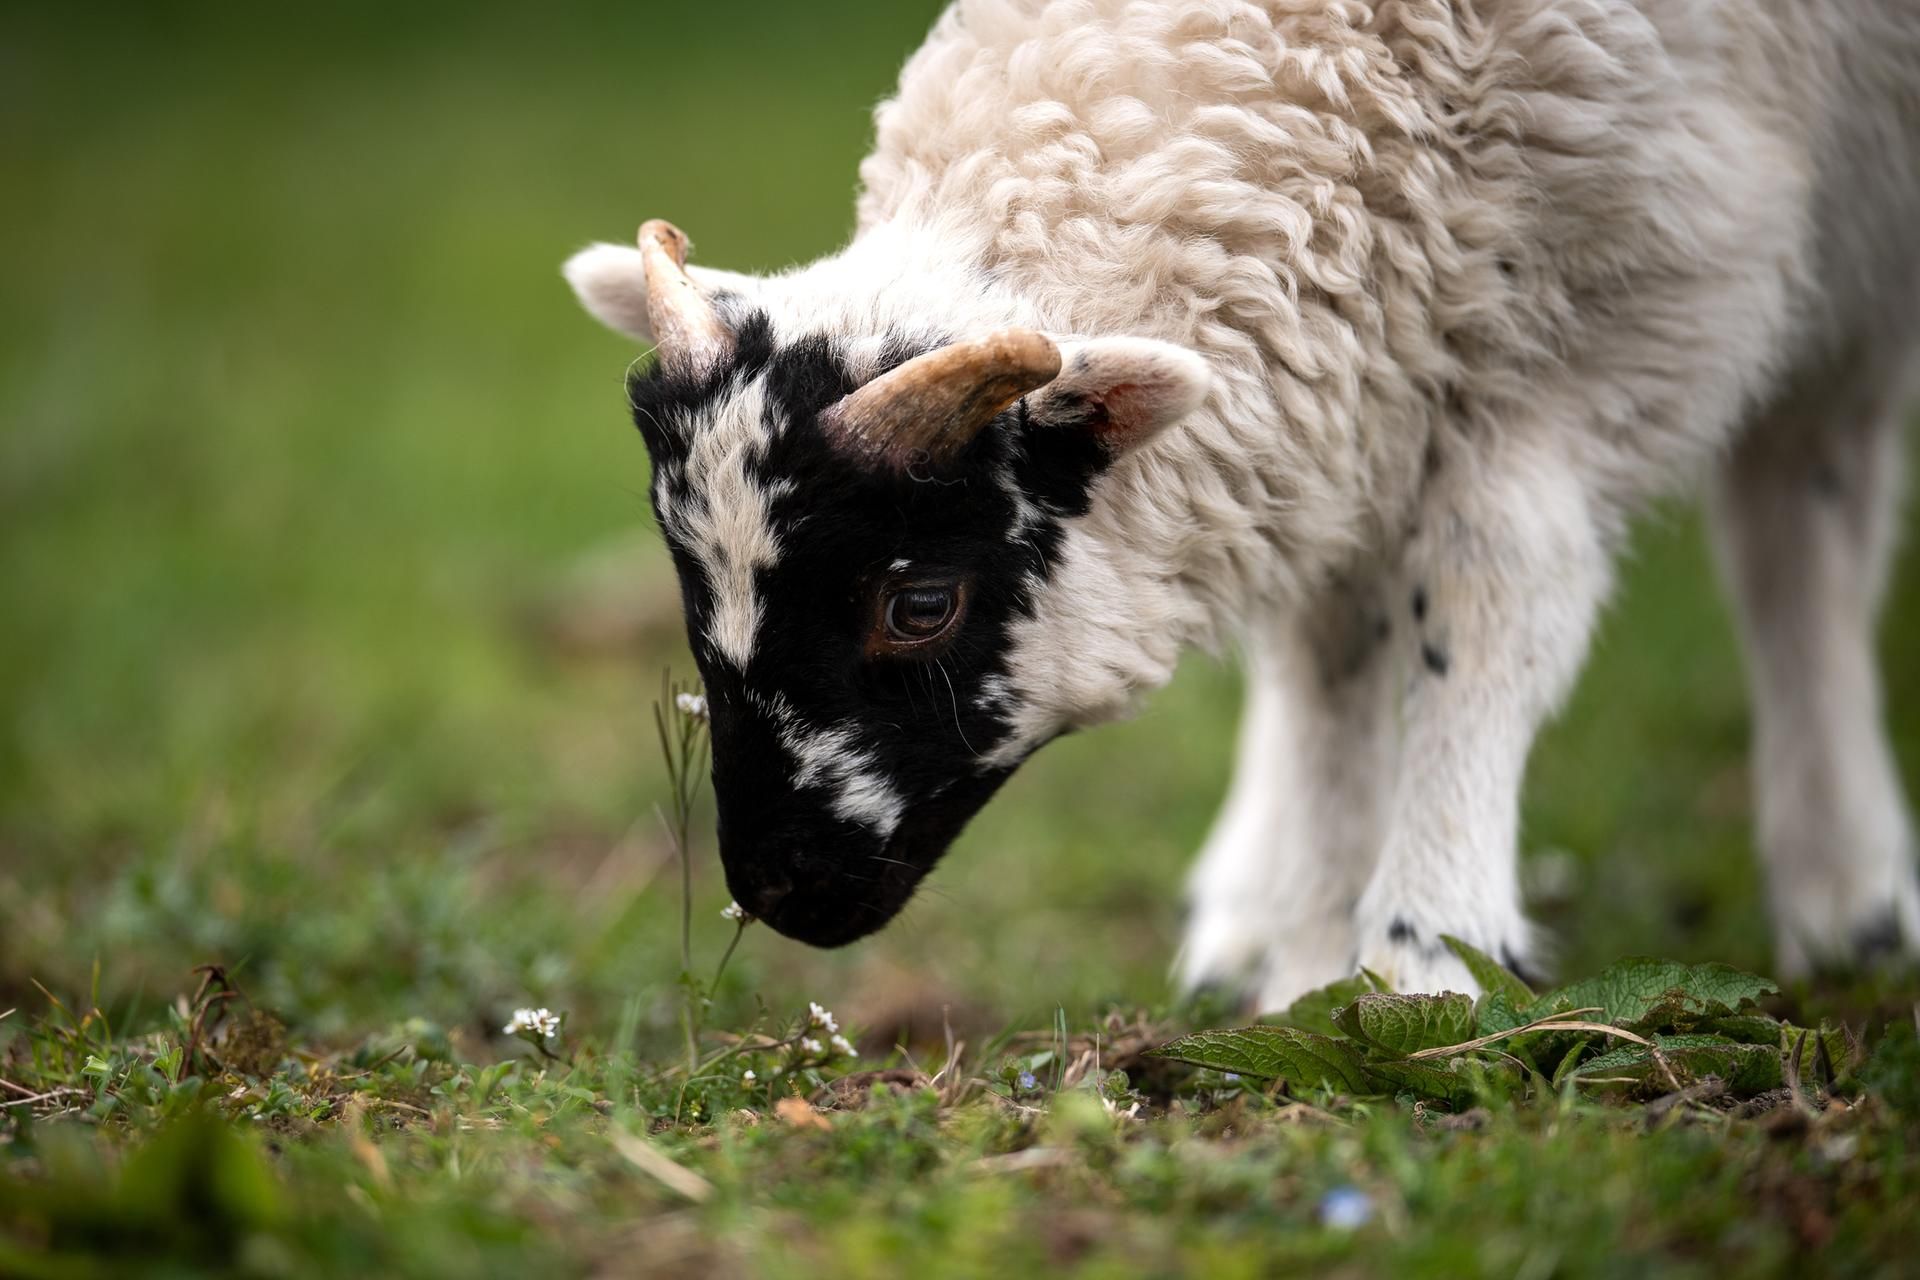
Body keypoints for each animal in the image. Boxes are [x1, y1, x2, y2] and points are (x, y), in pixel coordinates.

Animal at [561, 0, 1920, 1006]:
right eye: (687, 576)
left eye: (921, 602)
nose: (776, 889)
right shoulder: (1364, 364)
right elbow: (1330, 652)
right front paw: (1312, 950)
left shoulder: (1633, 305)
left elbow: (1489, 592)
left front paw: (1426, 955)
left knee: (1802, 525)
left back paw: (1848, 899)